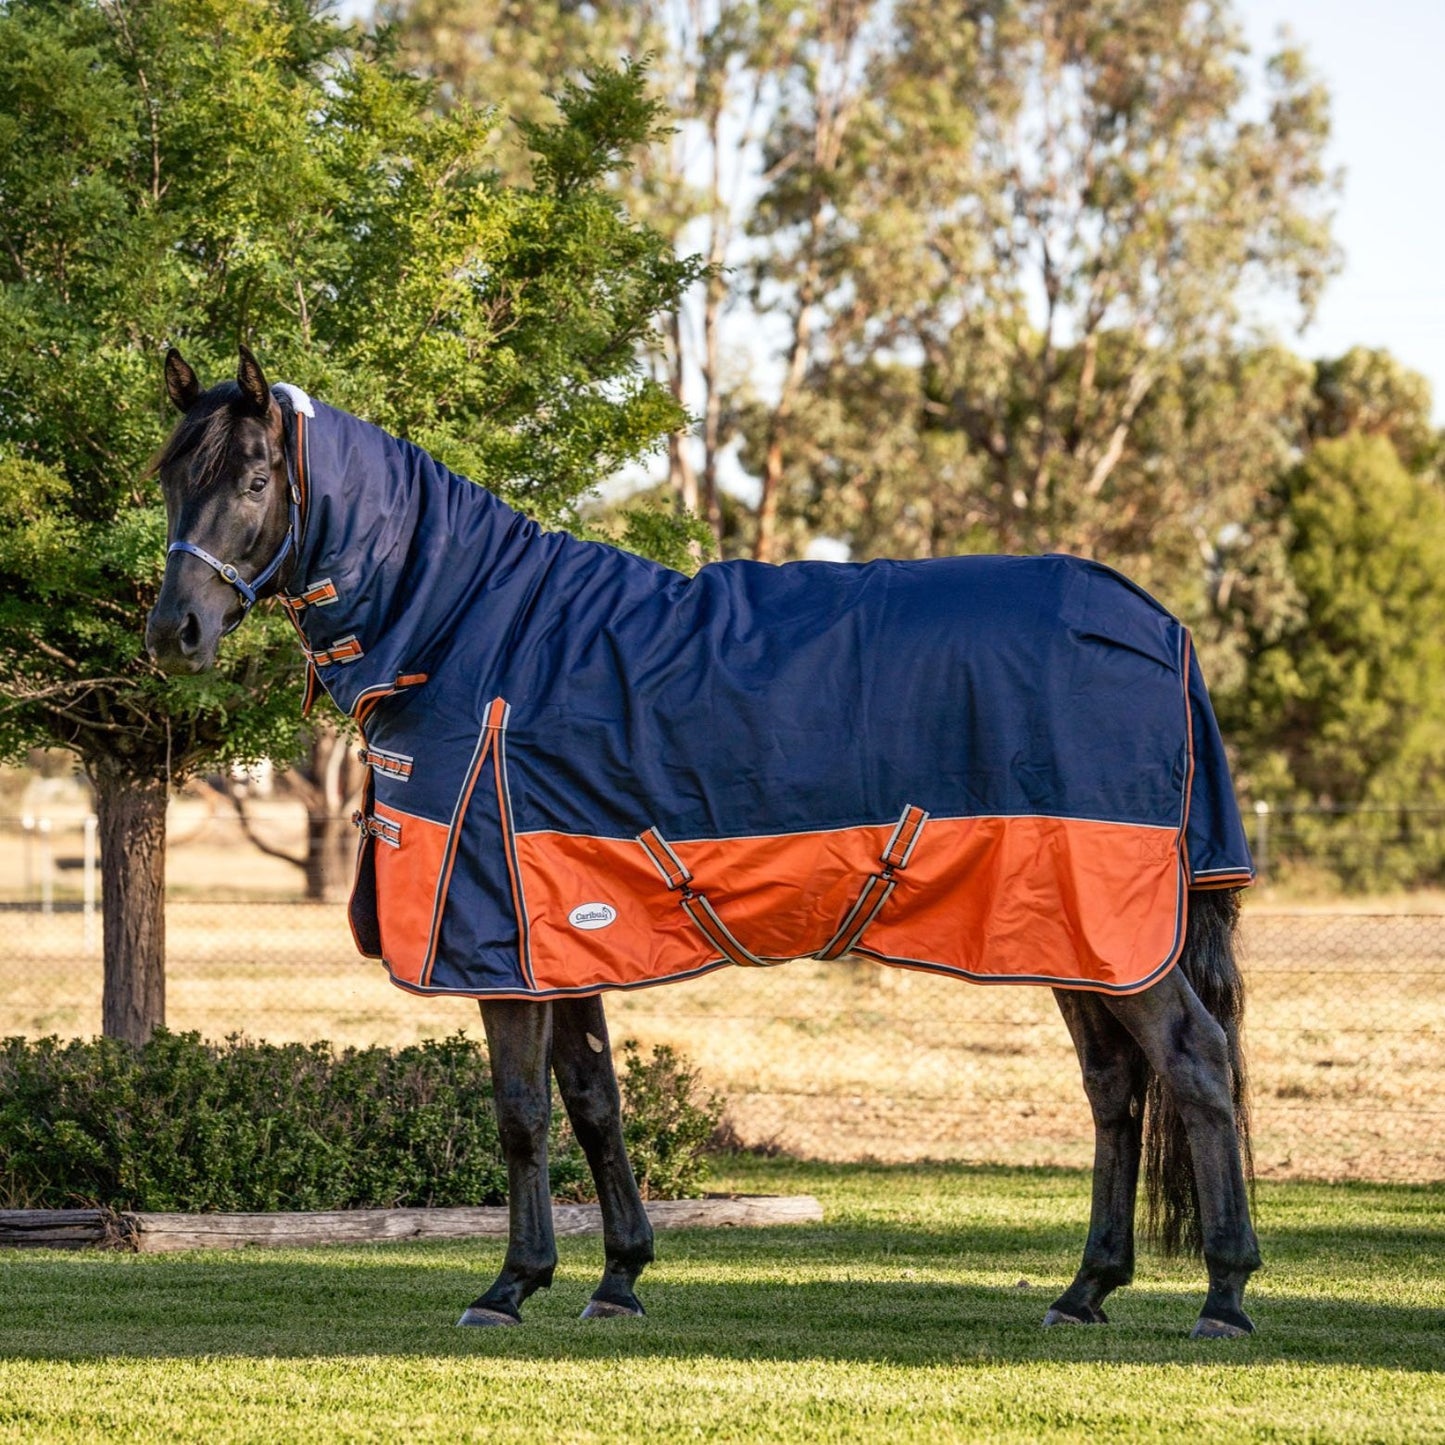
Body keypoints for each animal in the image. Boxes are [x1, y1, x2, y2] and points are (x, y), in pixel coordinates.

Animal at [146, 346, 1261, 1338]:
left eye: (253, 477)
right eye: (168, 478)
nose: (174, 632)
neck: (470, 629)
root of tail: (1156, 625)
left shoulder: (498, 942)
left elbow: (520, 1111)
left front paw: (508, 1285)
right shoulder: (558, 933)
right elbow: (594, 1100)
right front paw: (616, 1277)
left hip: (1112, 929)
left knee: (1193, 1063)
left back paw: (1223, 1293)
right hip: (1072, 933)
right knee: (1115, 1088)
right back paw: (1085, 1289)